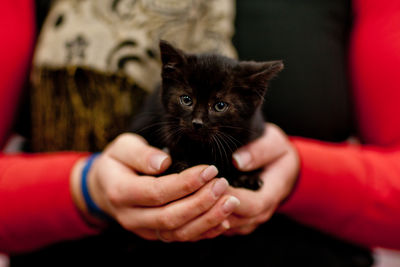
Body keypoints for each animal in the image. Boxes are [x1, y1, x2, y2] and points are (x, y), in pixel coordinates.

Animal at [130, 40, 282, 189]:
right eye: (186, 100)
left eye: (220, 106)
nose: (197, 123)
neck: (203, 148)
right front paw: (178, 165)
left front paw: (247, 177)